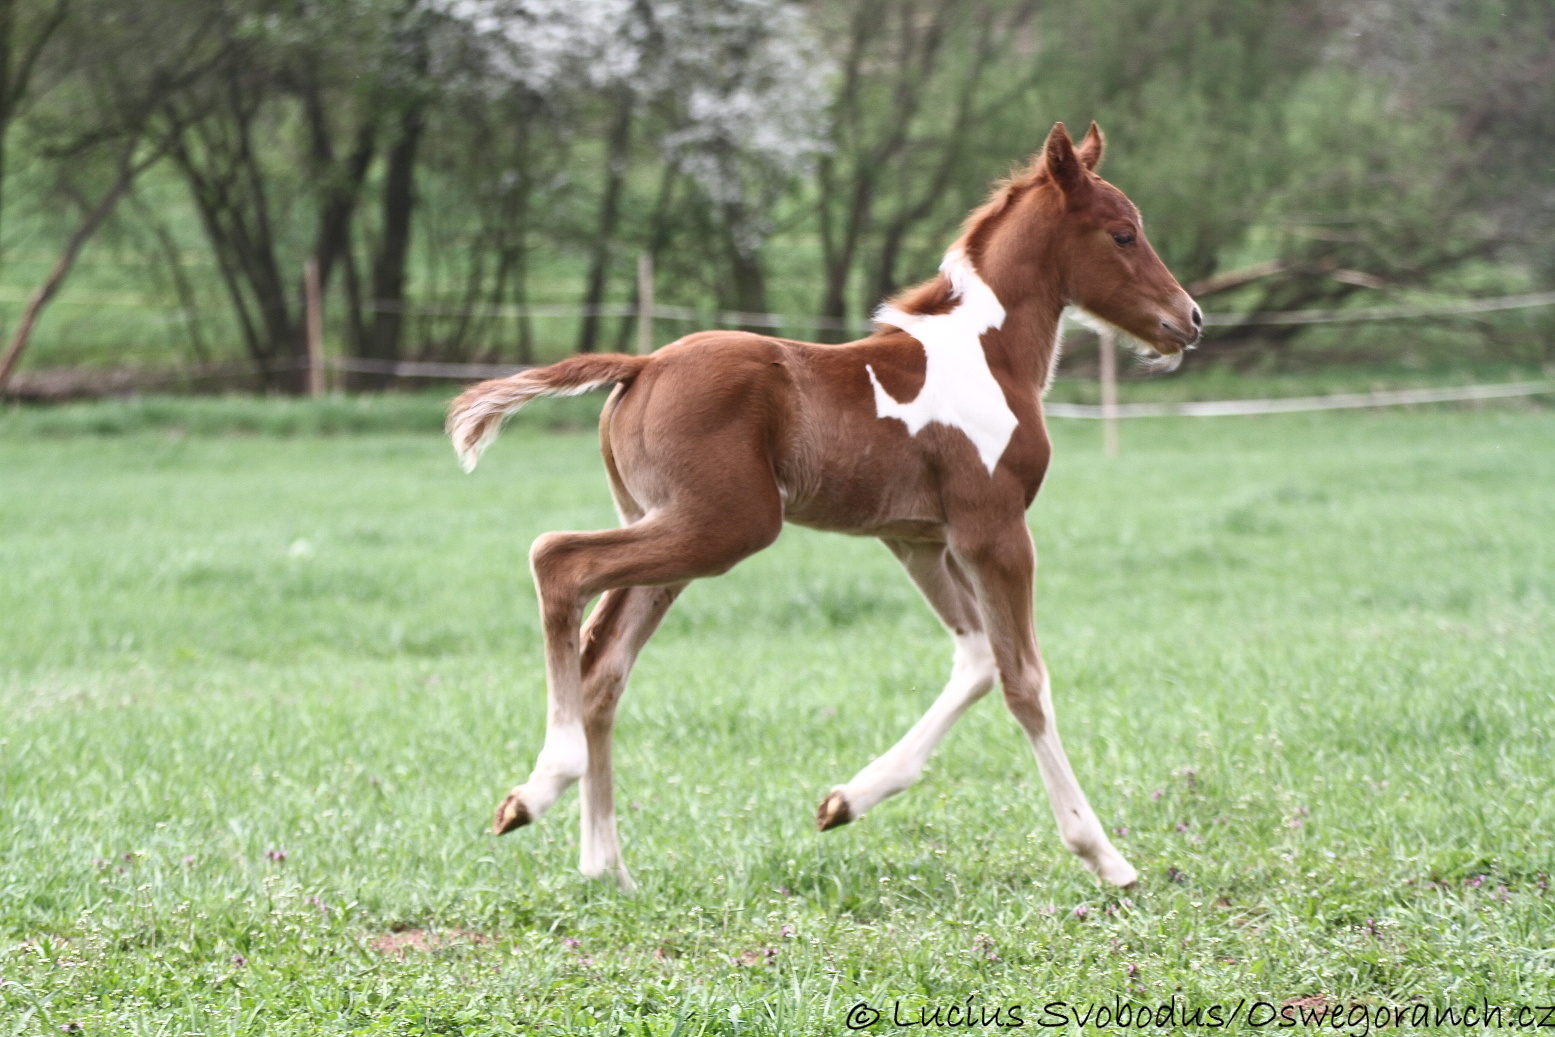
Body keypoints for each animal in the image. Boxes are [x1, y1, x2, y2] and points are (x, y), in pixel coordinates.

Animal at [450, 117, 1200, 889]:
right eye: (1122, 234)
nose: (1189, 319)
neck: (988, 356)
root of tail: (642, 364)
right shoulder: (993, 530)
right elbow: (1024, 678)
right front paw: (1104, 855)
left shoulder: (919, 538)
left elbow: (977, 659)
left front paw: (845, 801)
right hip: (725, 527)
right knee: (558, 559)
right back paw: (544, 785)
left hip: (670, 534)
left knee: (605, 664)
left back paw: (604, 865)